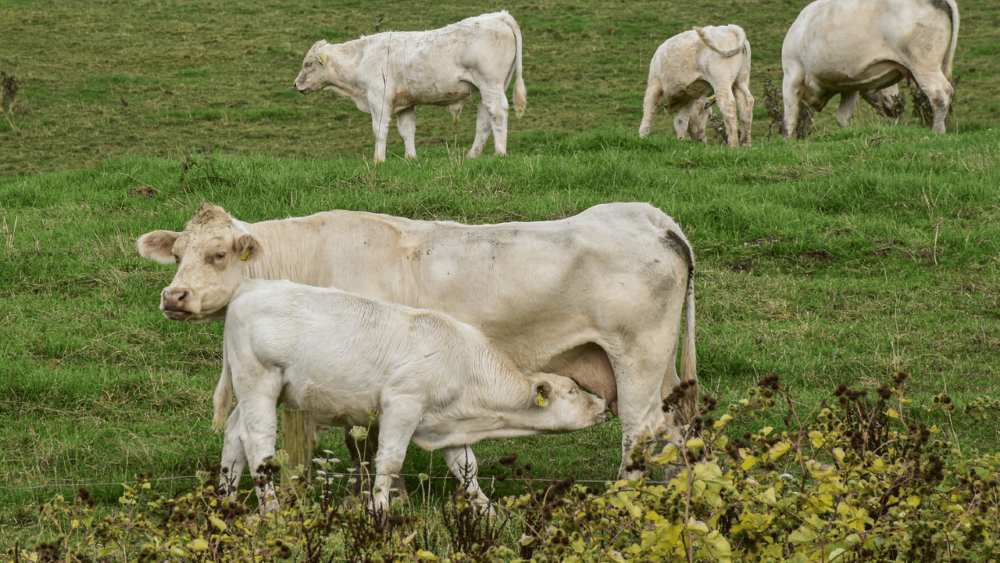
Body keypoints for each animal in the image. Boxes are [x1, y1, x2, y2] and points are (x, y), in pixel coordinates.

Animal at [137, 203, 700, 480]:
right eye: (178, 254)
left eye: (218, 255)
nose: (174, 295)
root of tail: (650, 217)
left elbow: (364, 445)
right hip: (661, 369)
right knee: (676, 426)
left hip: (638, 358)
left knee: (639, 431)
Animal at [215, 278, 604, 516]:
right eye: (572, 390)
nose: (601, 404)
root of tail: (253, 286)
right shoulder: (403, 405)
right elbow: (389, 462)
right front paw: (378, 511)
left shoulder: (449, 425)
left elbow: (468, 470)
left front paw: (488, 513)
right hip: (259, 382)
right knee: (257, 442)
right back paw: (271, 510)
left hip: (251, 391)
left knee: (233, 436)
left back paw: (226, 502)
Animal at [292, 11, 528, 162]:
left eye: (308, 64)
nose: (295, 84)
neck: (362, 57)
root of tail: (499, 15)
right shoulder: (404, 103)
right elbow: (407, 131)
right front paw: (411, 158)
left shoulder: (379, 98)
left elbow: (379, 130)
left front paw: (378, 159)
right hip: (490, 87)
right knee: (484, 119)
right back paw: (473, 155)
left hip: (491, 83)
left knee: (497, 113)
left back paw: (500, 153)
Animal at [784, 0, 956, 135]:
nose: (897, 105)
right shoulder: (851, 84)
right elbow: (842, 116)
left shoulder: (791, 73)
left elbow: (789, 117)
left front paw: (787, 143)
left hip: (923, 62)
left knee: (939, 92)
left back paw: (937, 131)